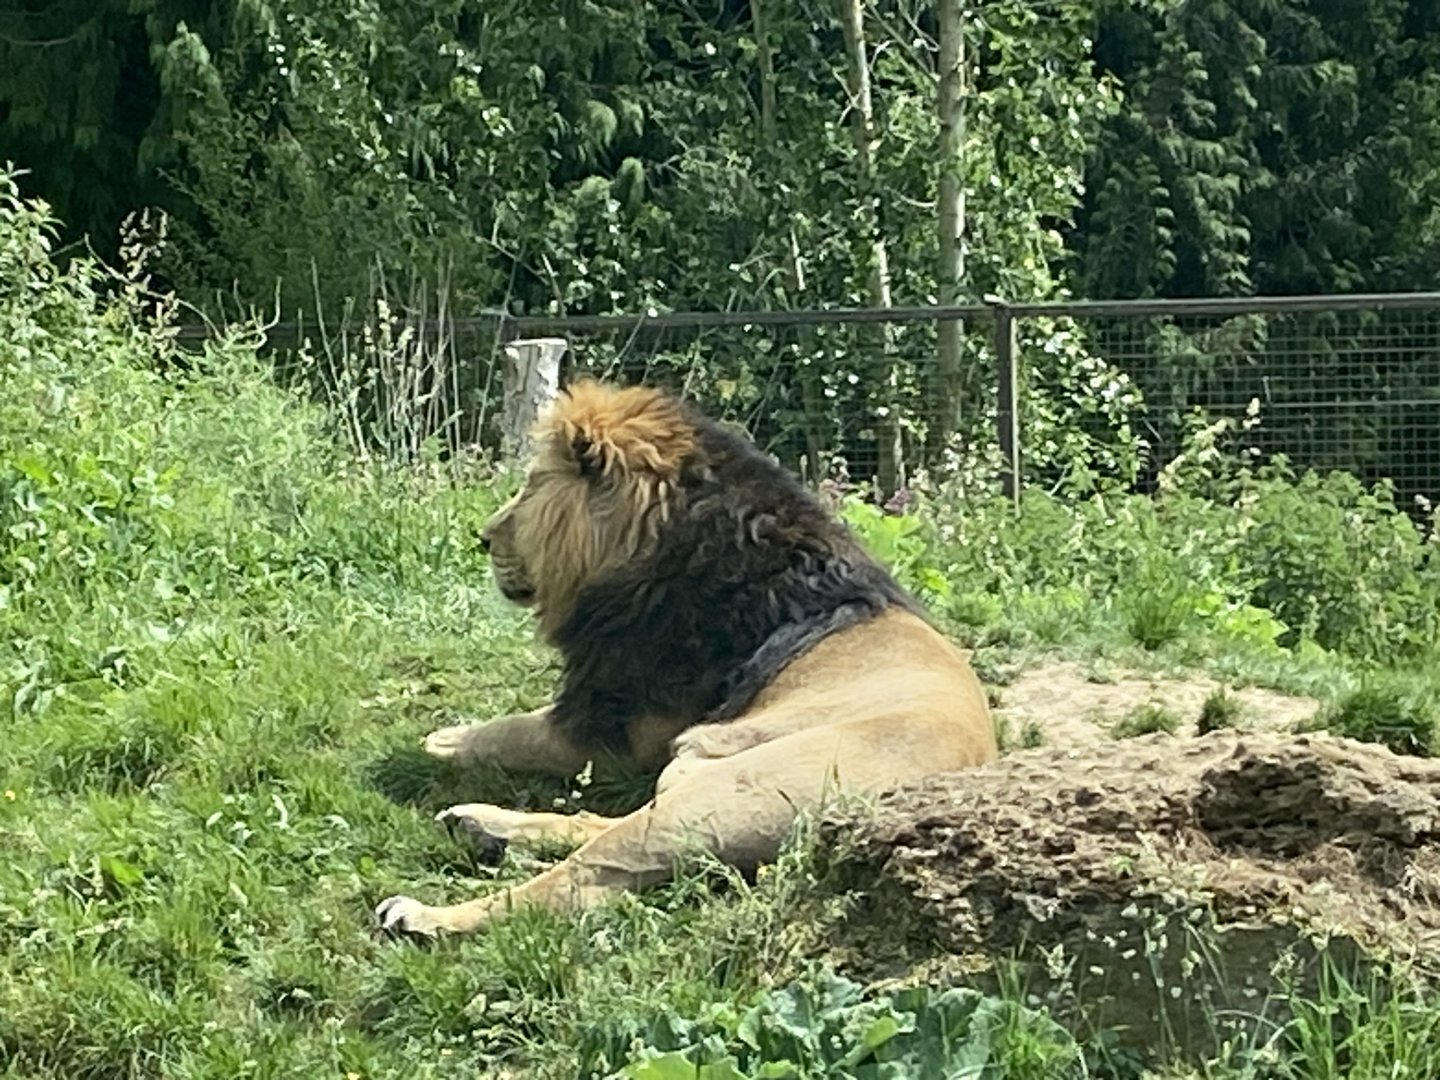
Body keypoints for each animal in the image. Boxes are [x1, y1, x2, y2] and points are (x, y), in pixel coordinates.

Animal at [375, 380, 997, 937]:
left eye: (530, 488)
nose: (484, 536)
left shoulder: (619, 728)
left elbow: (515, 733)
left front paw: (443, 741)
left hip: (715, 796)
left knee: (583, 878)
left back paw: (427, 916)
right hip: (690, 777)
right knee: (597, 824)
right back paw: (481, 825)